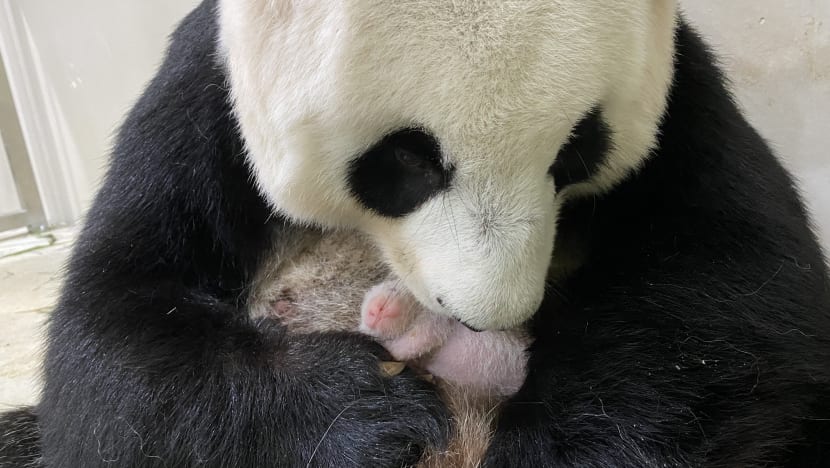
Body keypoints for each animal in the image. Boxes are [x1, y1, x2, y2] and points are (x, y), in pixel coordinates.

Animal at [1, 0, 828, 466]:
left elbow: (731, 284)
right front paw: (362, 413)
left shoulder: (679, 80)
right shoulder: (209, 87)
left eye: (577, 152)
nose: (488, 318)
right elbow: (110, 340)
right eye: (405, 161)